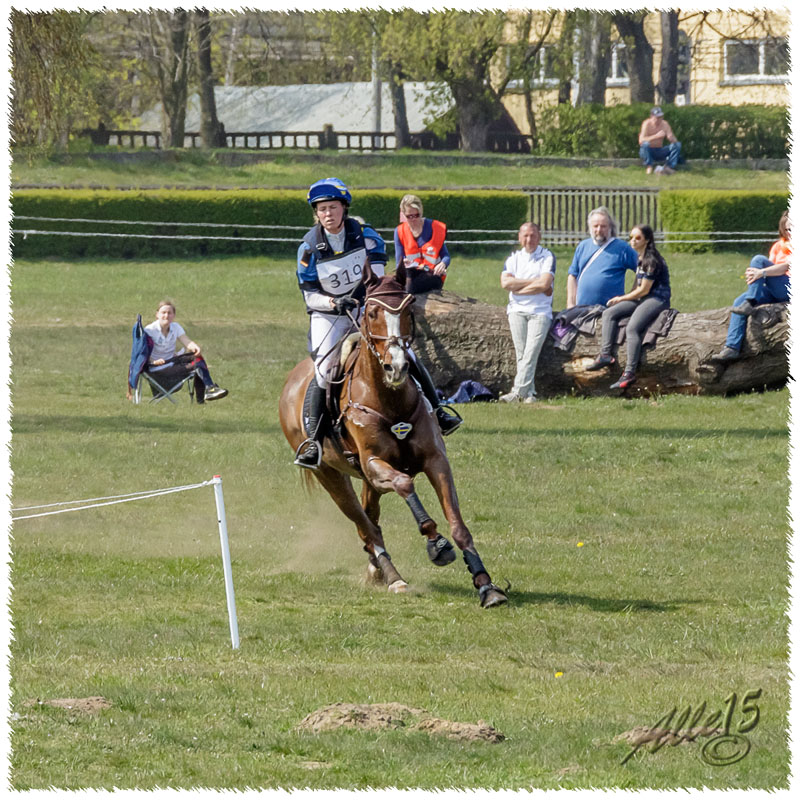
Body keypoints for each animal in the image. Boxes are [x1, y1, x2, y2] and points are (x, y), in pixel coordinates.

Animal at [280, 266, 506, 608]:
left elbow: (458, 524)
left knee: (370, 519)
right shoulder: (375, 463)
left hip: (366, 481)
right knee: (365, 526)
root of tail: (291, 381)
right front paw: (436, 544)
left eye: (409, 310)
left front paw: (486, 585)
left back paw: (377, 569)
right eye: (373, 312)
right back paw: (394, 577)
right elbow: (405, 484)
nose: (397, 366)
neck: (388, 398)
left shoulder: (435, 460)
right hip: (330, 476)